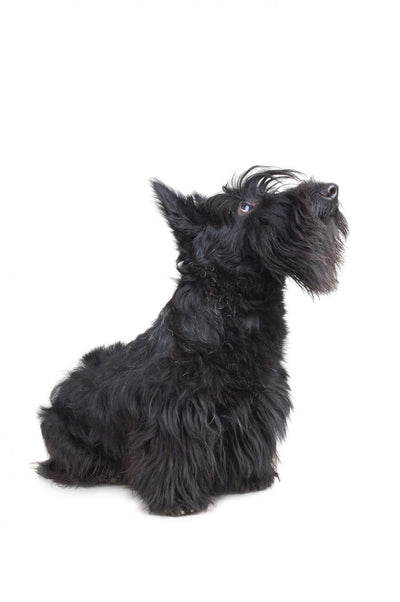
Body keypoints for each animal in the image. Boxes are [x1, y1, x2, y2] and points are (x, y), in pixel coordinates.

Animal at [37, 167, 348, 515]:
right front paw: (178, 500)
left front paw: (250, 478)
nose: (330, 191)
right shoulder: (177, 411)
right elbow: (174, 454)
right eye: (245, 207)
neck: (232, 306)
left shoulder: (258, 403)